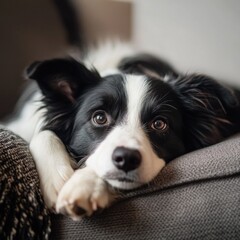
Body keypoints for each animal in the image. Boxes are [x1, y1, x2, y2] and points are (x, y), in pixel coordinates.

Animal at [4, 42, 240, 219]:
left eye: (159, 124)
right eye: (99, 117)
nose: (126, 159)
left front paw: (84, 185)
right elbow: (43, 133)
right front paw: (58, 179)